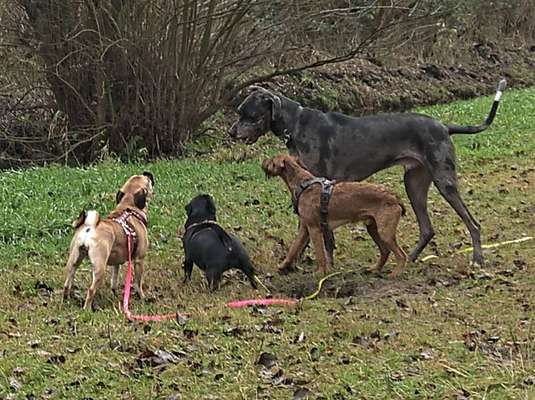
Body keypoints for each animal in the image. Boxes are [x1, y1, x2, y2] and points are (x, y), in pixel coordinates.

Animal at [63, 172, 155, 310]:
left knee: (67, 282)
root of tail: (90, 227)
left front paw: (114, 293)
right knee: (91, 290)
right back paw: (87, 309)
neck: (129, 207)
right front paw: (142, 297)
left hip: (74, 259)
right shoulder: (139, 260)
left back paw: (66, 301)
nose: (148, 173)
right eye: (148, 181)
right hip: (100, 267)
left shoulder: (116, 263)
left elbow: (114, 280)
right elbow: (138, 283)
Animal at [262, 155, 408, 276]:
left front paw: (321, 273)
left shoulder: (314, 229)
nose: (262, 162)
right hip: (373, 229)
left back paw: (395, 274)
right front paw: (283, 266)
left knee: (401, 255)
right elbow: (294, 248)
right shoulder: (305, 228)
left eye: (271, 160)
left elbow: (320, 254)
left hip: (385, 232)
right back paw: (375, 269)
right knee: (385, 251)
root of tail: (394, 197)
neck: (303, 183)